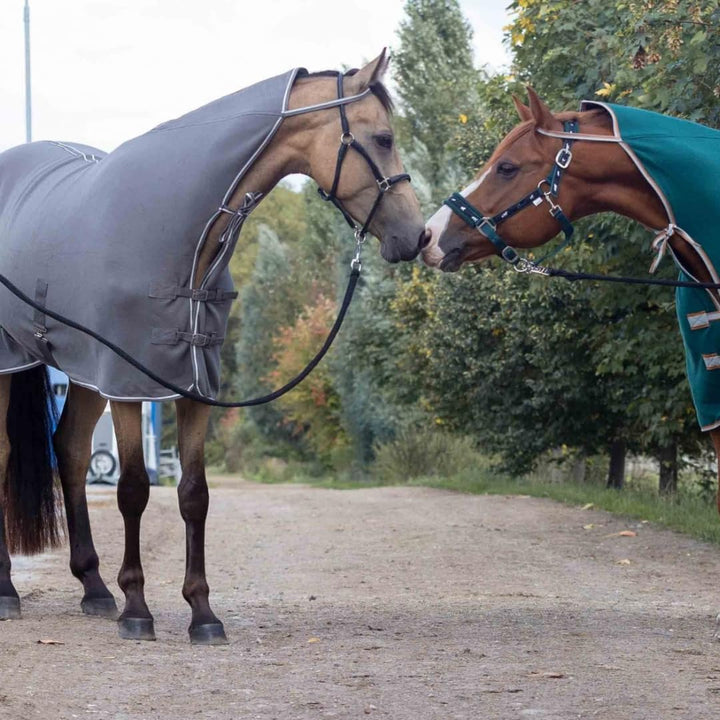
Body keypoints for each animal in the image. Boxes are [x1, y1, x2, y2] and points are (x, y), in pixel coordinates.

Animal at [0, 50, 428, 644]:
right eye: (383, 137)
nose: (417, 236)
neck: (187, 242)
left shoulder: (190, 382)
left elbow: (194, 494)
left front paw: (201, 612)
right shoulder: (130, 381)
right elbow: (134, 488)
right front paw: (138, 610)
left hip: (84, 371)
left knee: (70, 449)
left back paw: (94, 588)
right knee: (5, 455)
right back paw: (7, 591)